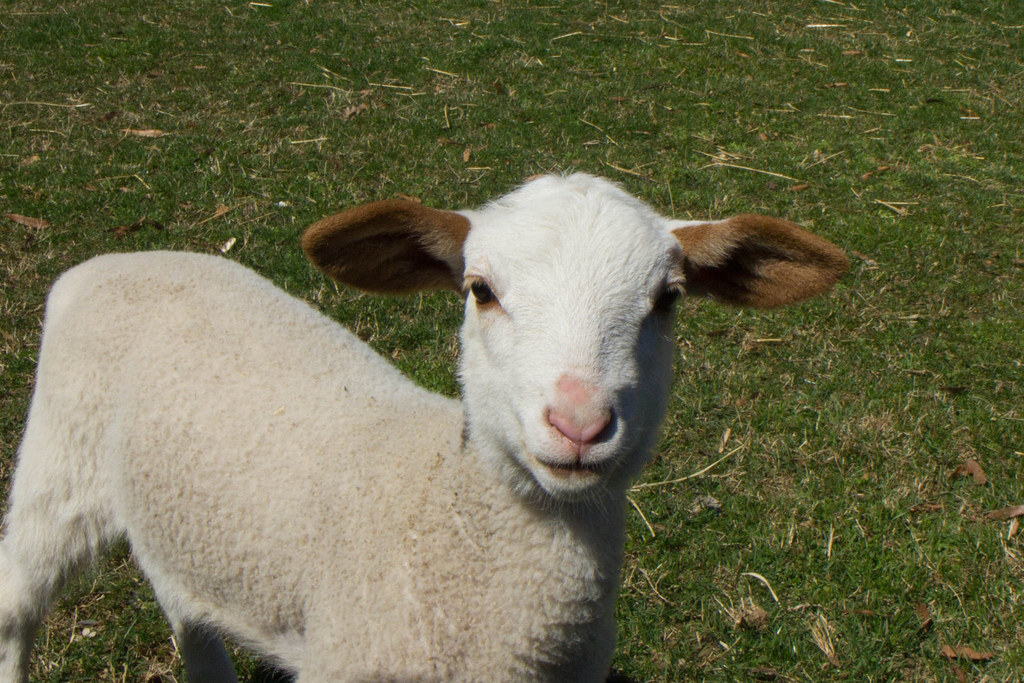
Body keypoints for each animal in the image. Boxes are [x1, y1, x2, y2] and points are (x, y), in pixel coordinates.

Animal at [0, 174, 847, 679]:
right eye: (481, 290)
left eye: (668, 298)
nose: (578, 420)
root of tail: (116, 259)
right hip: (57, 462)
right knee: (16, 603)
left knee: (189, 612)